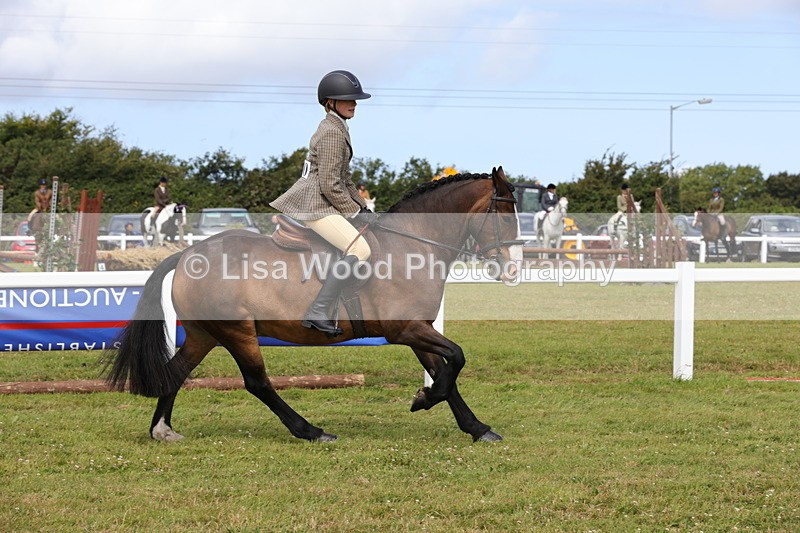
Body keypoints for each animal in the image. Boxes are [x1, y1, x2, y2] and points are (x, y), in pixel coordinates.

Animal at [105, 167, 523, 443]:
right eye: (505, 217)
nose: (514, 269)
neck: (411, 245)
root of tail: (187, 254)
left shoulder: (418, 329)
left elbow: (444, 372)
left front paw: (477, 428)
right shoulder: (406, 328)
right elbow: (456, 360)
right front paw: (423, 401)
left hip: (204, 334)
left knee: (176, 372)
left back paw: (162, 430)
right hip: (237, 332)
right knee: (257, 382)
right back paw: (310, 430)